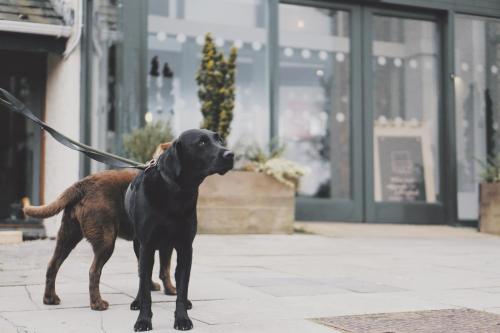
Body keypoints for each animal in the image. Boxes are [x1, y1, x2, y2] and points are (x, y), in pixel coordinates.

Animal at [24, 142, 175, 308]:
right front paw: (171, 290)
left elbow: (144, 269)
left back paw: (50, 299)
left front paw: (150, 287)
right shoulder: (166, 241)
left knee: (53, 265)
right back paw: (97, 304)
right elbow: (165, 269)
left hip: (67, 236)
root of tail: (82, 184)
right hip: (106, 240)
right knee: (93, 271)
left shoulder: (141, 243)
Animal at [125, 127, 234, 330]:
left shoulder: (185, 247)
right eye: (201, 142)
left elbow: (183, 287)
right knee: (142, 276)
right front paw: (143, 320)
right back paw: (136, 300)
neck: (176, 191)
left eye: (220, 139)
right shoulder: (147, 246)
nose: (230, 154)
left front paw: (182, 318)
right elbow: (145, 287)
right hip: (138, 245)